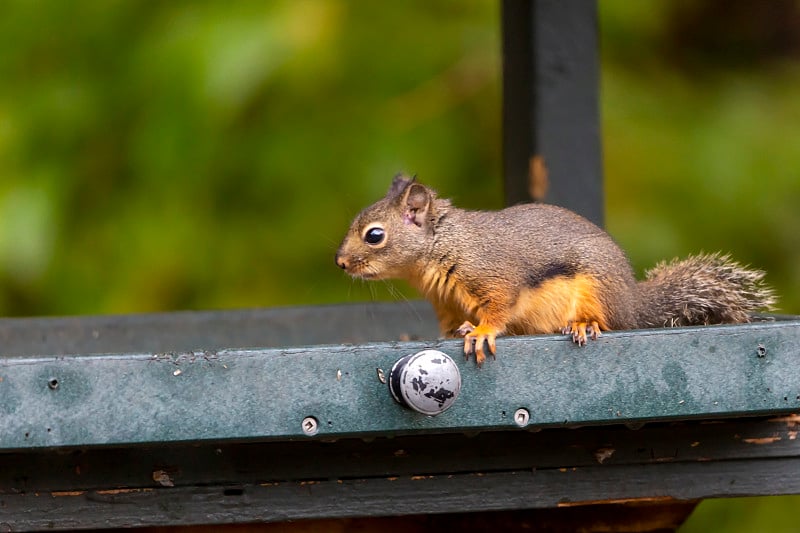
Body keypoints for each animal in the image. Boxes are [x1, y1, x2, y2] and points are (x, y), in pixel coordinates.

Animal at [334, 175, 780, 366]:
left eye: (374, 236)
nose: (339, 262)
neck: (445, 245)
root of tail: (633, 303)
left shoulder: (494, 274)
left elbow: (499, 307)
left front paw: (481, 332)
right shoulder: (446, 304)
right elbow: (450, 326)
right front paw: (458, 333)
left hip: (597, 288)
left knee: (609, 321)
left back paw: (585, 324)